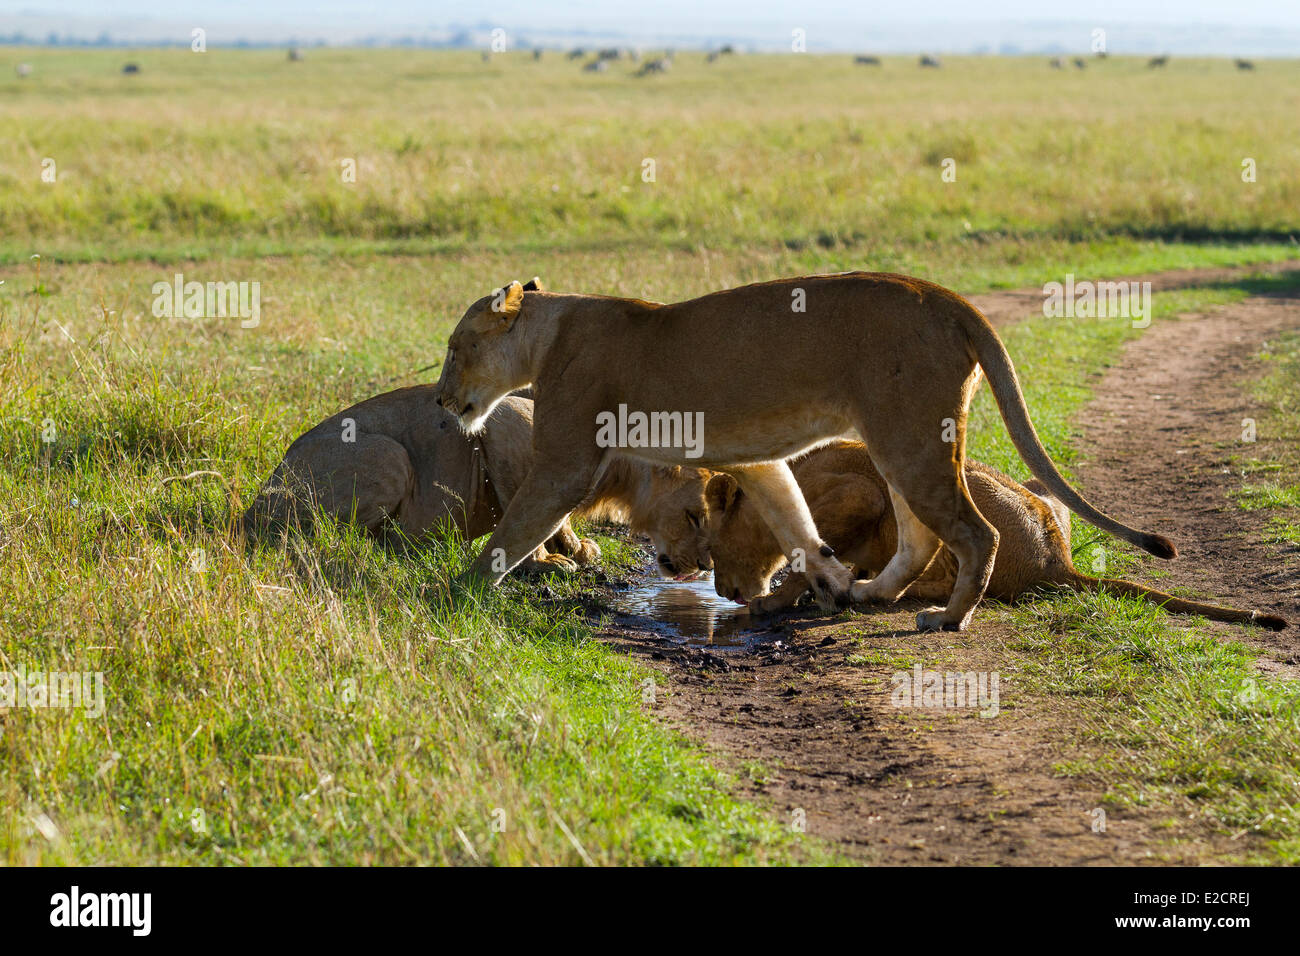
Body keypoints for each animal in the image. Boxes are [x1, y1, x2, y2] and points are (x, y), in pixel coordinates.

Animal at [243, 386, 712, 576]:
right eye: (696, 516)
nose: (707, 567)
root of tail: (253, 505)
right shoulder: (503, 419)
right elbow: (526, 516)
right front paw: (545, 562)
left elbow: (557, 518)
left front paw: (576, 548)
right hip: (390, 456)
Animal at [434, 272, 1174, 631]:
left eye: (455, 347)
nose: (440, 400)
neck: (547, 334)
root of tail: (944, 297)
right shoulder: (755, 463)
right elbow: (793, 518)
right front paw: (829, 581)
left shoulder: (565, 460)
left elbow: (514, 531)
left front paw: (452, 591)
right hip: (898, 444)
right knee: (922, 538)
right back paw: (872, 591)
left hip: (909, 439)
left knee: (975, 532)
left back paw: (947, 618)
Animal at [704, 441, 1287, 630]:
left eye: (707, 540)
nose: (717, 589)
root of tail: (1057, 560)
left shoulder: (859, 495)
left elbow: (813, 559)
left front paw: (778, 601)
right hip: (1035, 487)